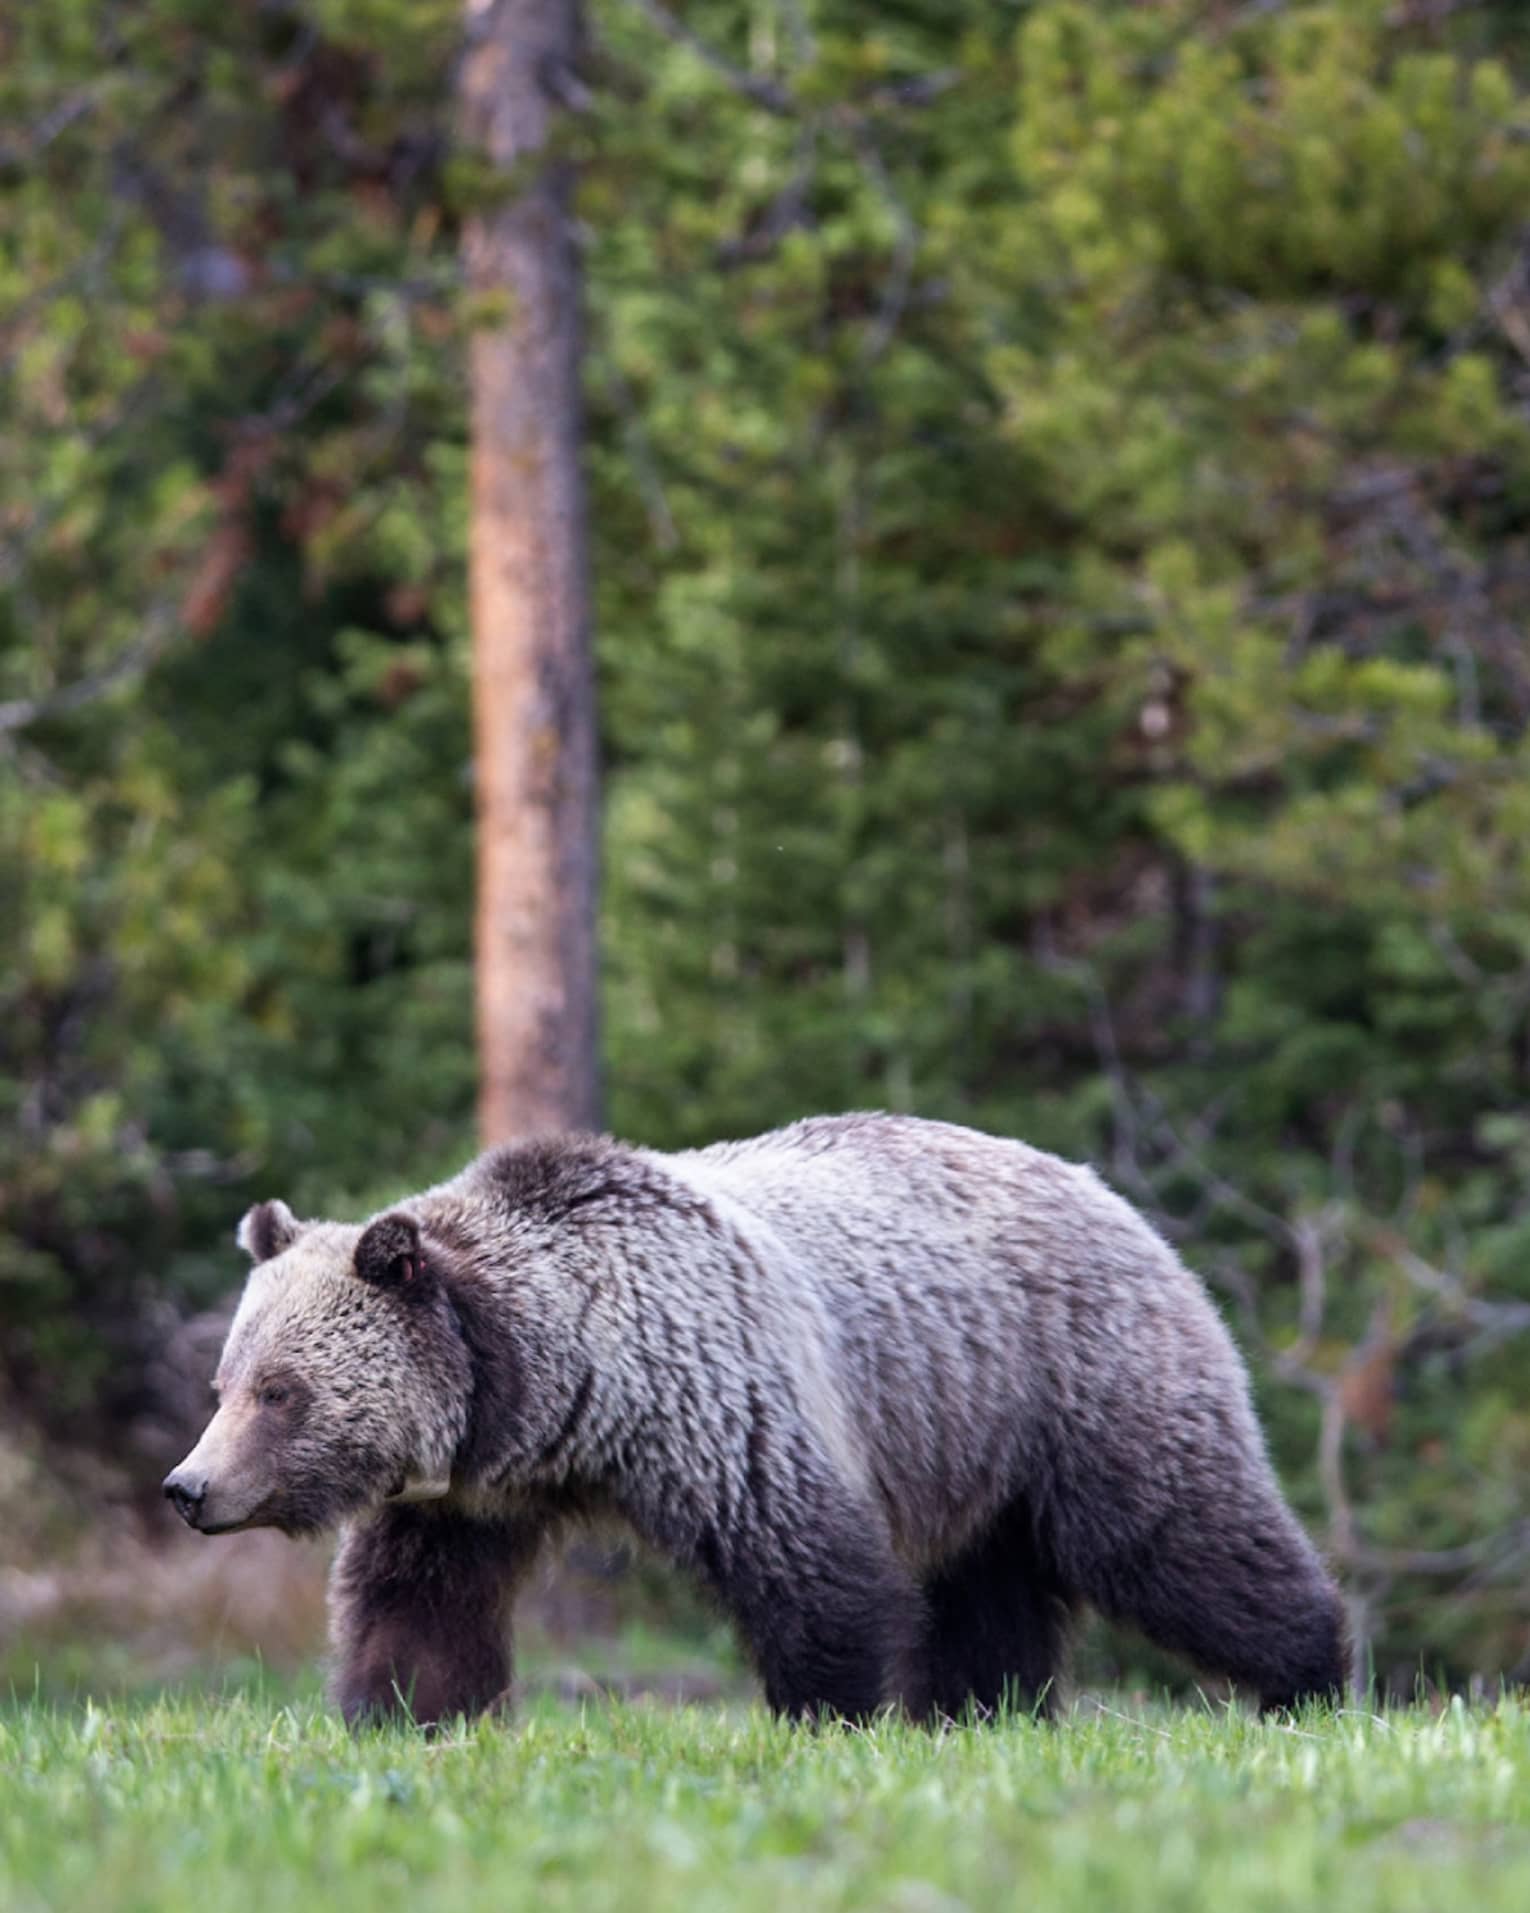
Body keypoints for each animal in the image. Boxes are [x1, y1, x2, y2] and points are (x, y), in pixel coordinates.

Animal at [163, 1113, 1347, 1727]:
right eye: (226, 1381)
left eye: (281, 1390)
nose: (189, 1487)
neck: (555, 1383)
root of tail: (1111, 1190)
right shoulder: (467, 1490)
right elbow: (420, 1600)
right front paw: (406, 1707)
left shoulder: (721, 1394)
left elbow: (811, 1565)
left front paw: (828, 1712)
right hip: (973, 1434)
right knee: (988, 1587)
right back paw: (982, 1708)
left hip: (1074, 1381)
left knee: (1177, 1533)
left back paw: (1312, 1672)